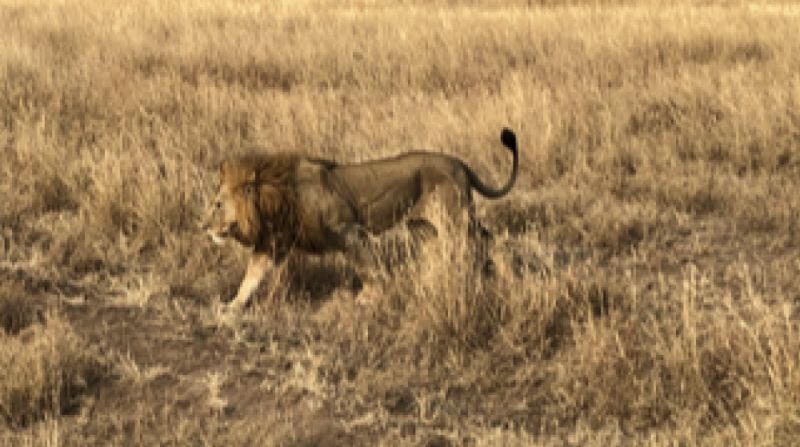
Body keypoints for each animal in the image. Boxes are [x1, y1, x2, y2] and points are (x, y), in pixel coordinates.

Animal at [202, 128, 518, 310]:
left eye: (217, 204)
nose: (203, 228)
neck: (274, 199)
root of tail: (460, 163)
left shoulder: (350, 231)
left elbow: (367, 268)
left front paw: (369, 297)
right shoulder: (272, 243)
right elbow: (251, 277)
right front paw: (231, 307)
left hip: (455, 219)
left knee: (490, 241)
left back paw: (508, 278)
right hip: (427, 225)